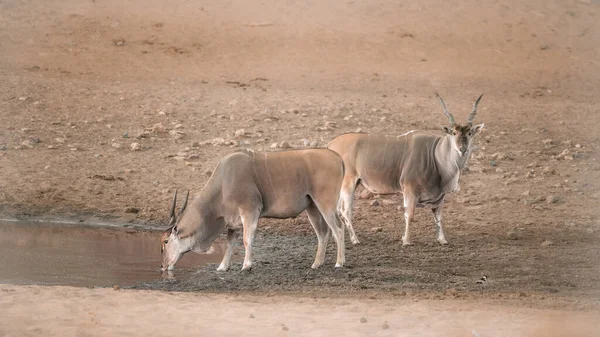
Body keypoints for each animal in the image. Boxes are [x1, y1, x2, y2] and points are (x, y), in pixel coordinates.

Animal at [161, 148, 346, 272]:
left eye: (165, 242)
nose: (163, 266)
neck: (223, 183)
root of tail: (336, 156)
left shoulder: (250, 210)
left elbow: (247, 239)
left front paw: (246, 266)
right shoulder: (232, 222)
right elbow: (230, 243)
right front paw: (222, 267)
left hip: (326, 204)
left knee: (338, 228)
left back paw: (339, 262)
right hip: (312, 207)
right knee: (323, 233)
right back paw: (316, 264)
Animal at [326, 93, 486, 245]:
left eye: (470, 133)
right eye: (453, 132)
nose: (462, 149)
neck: (435, 154)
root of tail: (331, 145)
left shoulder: (439, 197)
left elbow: (438, 218)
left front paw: (442, 240)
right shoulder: (410, 189)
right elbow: (409, 215)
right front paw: (406, 241)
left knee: (337, 210)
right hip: (349, 183)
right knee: (345, 211)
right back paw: (355, 240)